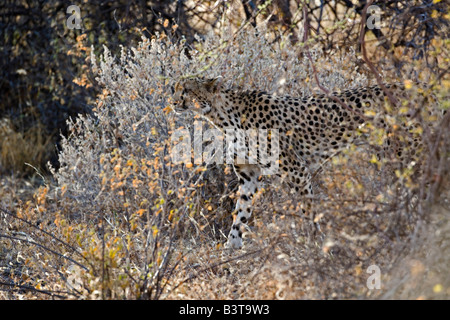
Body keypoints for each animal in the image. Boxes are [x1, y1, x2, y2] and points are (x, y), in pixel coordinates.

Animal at [172, 77, 436, 248]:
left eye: (186, 90)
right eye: (174, 89)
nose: (173, 102)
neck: (224, 116)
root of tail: (424, 86)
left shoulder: (296, 170)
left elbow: (308, 210)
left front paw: (313, 243)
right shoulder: (249, 174)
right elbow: (240, 213)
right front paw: (231, 248)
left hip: (405, 154)